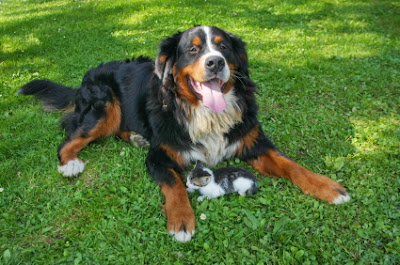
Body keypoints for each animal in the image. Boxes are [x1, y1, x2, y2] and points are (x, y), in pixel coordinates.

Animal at [19, 26, 350, 241]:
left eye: (224, 47)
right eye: (193, 49)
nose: (215, 62)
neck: (203, 112)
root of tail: (87, 74)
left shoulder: (253, 142)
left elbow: (291, 165)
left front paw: (327, 187)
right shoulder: (160, 156)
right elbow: (174, 184)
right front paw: (180, 221)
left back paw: (136, 137)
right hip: (103, 108)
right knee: (70, 137)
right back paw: (69, 164)